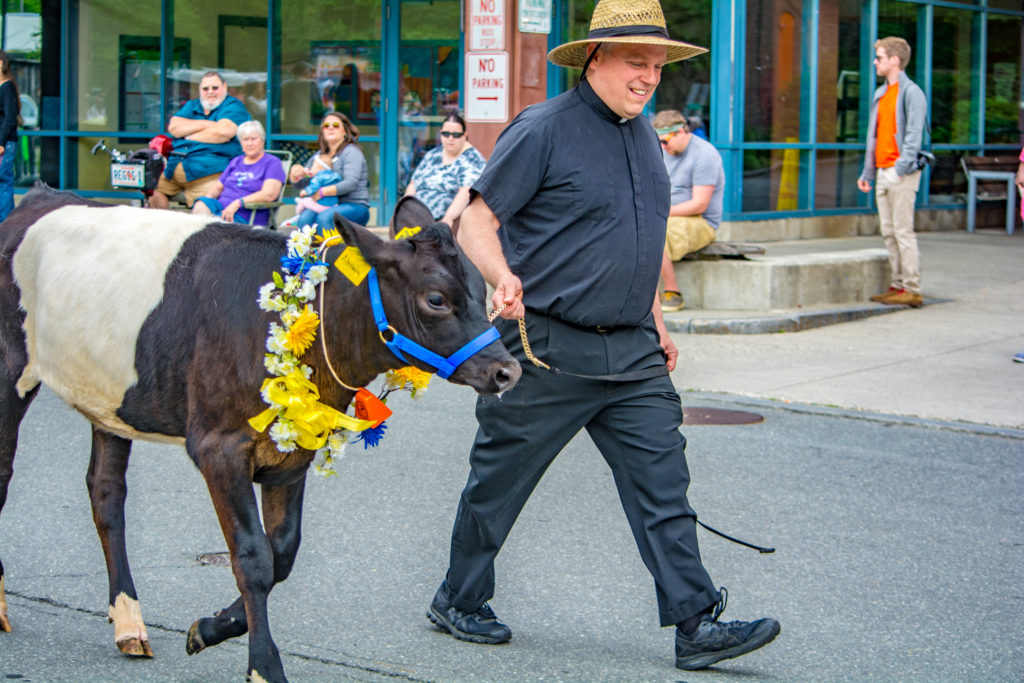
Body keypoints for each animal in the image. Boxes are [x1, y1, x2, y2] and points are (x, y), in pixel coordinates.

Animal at [0, 184, 520, 679]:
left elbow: (283, 555)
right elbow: (252, 559)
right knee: (7, 478)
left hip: (108, 399)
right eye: (436, 299)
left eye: (481, 287)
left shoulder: (291, 456)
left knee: (106, 493)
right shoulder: (219, 448)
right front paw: (264, 666)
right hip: (12, 373)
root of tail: (44, 195)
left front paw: (210, 628)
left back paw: (129, 622)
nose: (507, 371)